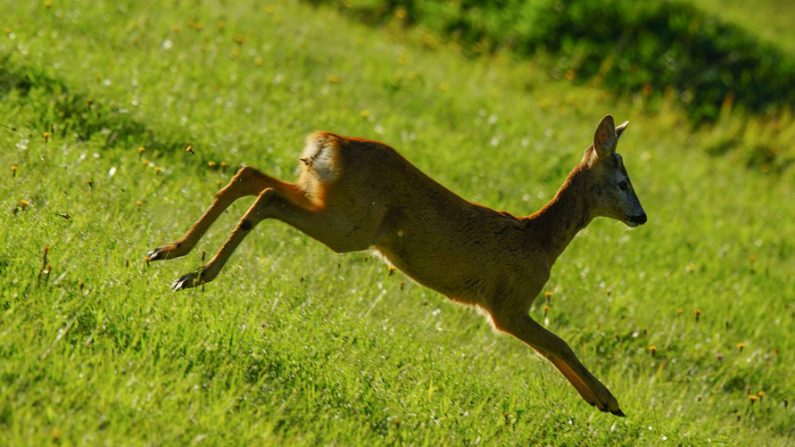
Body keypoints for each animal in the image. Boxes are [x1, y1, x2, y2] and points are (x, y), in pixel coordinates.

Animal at [148, 115, 648, 416]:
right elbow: (560, 344)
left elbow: (555, 348)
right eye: (623, 182)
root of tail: (329, 145)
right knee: (267, 196)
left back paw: (169, 252)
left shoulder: (509, 308)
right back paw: (194, 275)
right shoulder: (506, 306)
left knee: (251, 175)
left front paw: (600, 401)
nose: (641, 217)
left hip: (324, 198)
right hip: (351, 226)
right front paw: (609, 401)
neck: (540, 240)